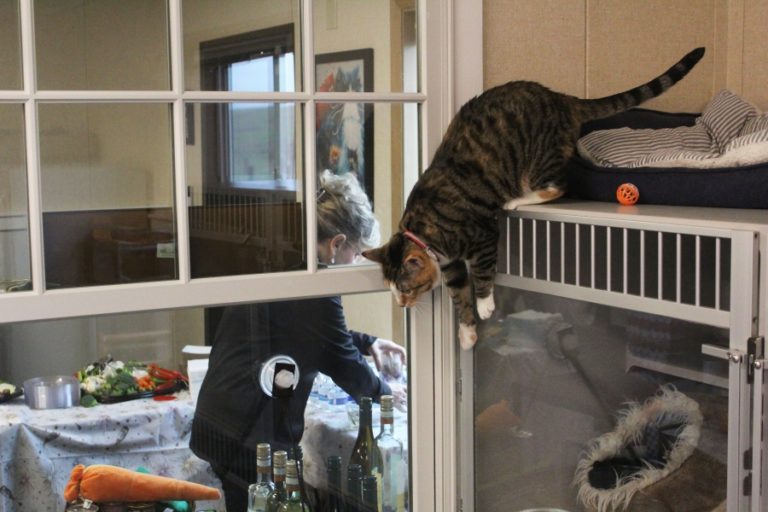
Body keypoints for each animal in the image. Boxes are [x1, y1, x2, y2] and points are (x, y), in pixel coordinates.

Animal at [364, 48, 704, 350]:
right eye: (392, 290)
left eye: (405, 288)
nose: (401, 305)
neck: (427, 230)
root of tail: (562, 99)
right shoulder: (451, 266)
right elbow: (459, 295)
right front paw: (468, 334)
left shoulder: (483, 234)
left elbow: (482, 273)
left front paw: (485, 305)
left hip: (540, 160)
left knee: (559, 186)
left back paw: (519, 200)